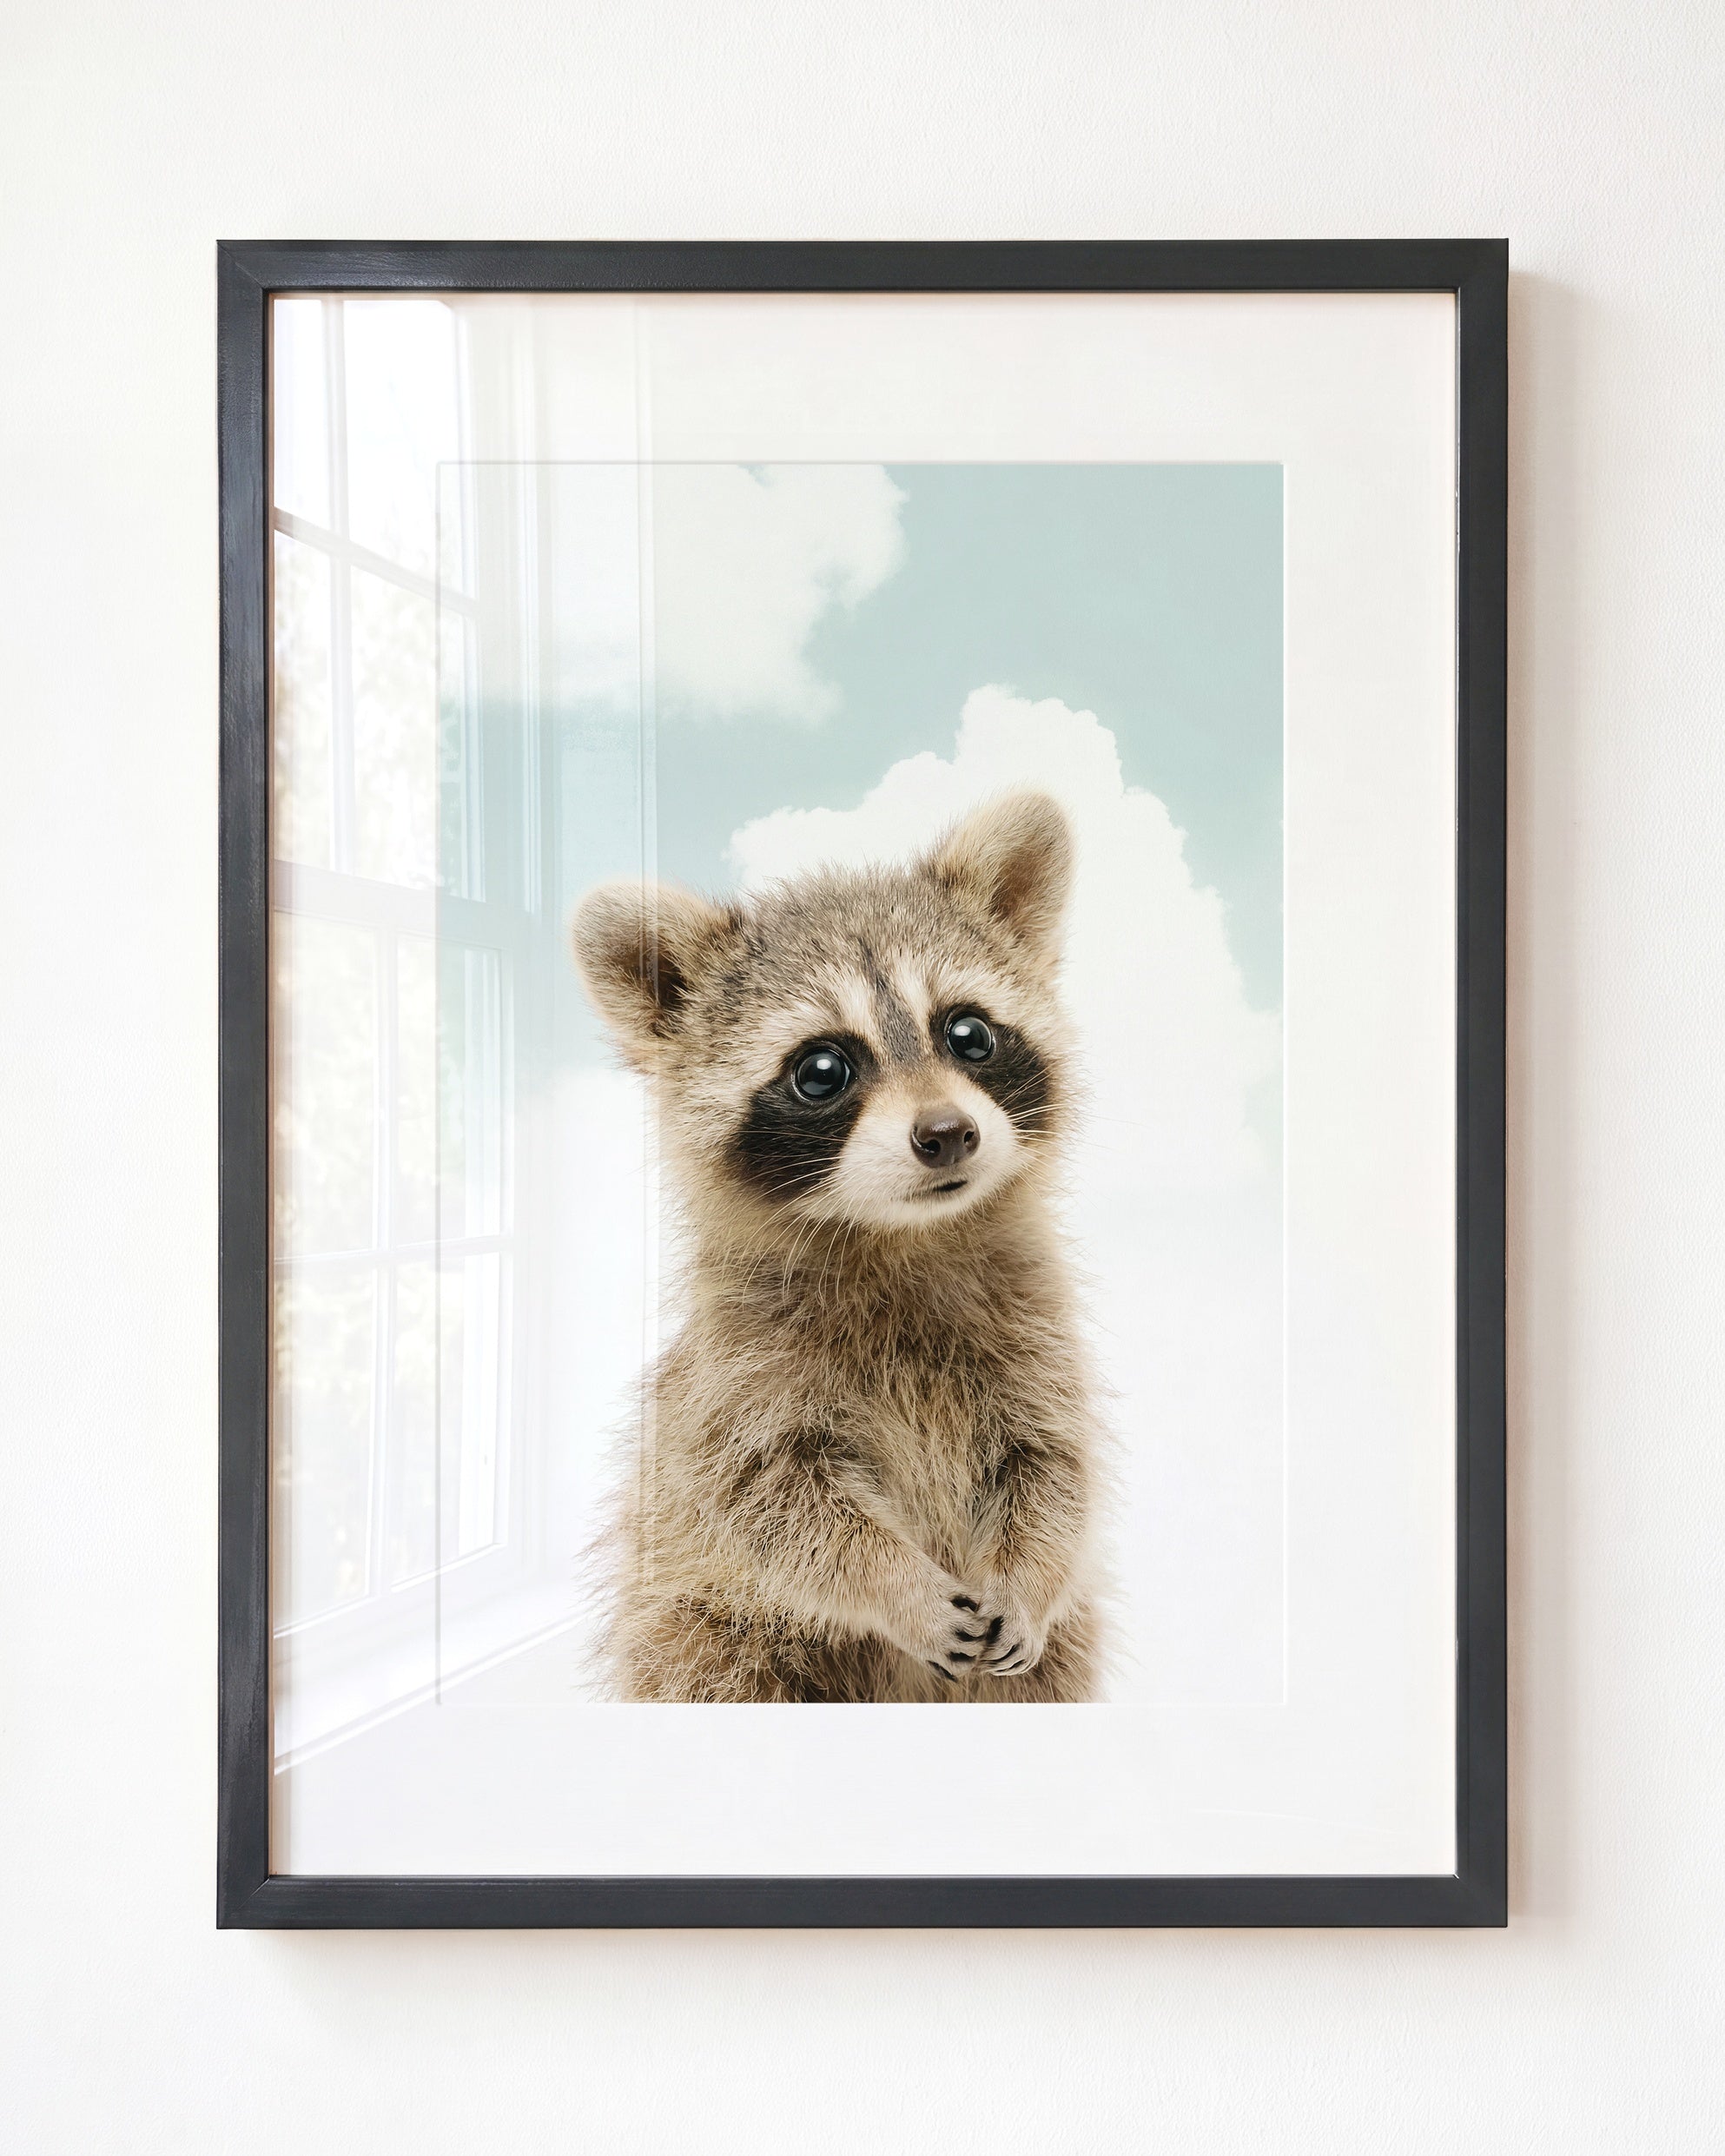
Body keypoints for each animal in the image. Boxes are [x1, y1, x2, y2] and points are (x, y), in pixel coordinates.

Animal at [570, 790, 1105, 1702]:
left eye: (969, 1034)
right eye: (822, 1070)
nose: (947, 1134)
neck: (902, 1238)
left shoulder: (1038, 1338)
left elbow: (1054, 1469)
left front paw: (1029, 1578)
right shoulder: (736, 1381)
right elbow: (774, 1507)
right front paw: (897, 1587)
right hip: (704, 1632)